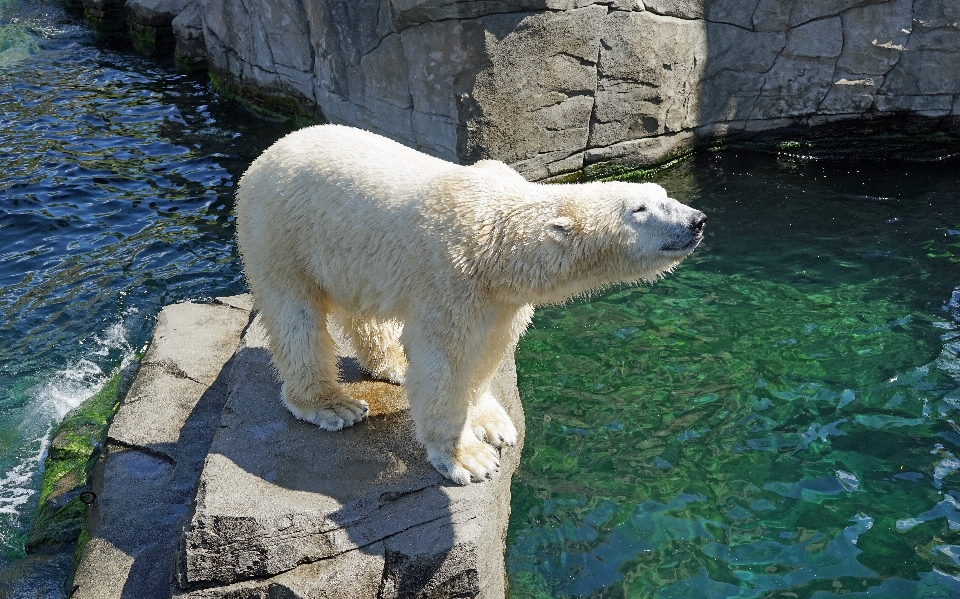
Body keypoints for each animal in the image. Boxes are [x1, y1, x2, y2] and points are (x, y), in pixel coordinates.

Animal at [237, 124, 708, 486]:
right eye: (640, 208)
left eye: (663, 193)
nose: (697, 220)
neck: (499, 240)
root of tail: (264, 154)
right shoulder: (452, 276)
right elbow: (445, 361)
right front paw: (469, 458)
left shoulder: (501, 298)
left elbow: (490, 351)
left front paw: (492, 423)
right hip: (280, 233)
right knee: (295, 317)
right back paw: (332, 404)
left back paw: (392, 363)